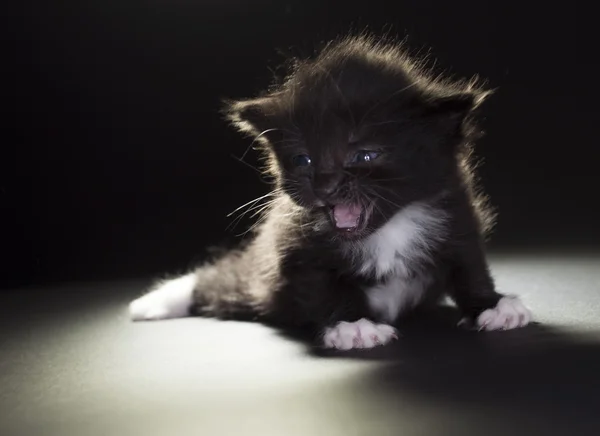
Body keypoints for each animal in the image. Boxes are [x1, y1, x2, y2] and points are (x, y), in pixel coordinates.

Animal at [129, 34, 532, 350]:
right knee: (219, 282)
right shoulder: (294, 246)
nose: (325, 185)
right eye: (302, 158)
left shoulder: (456, 213)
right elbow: (323, 285)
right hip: (259, 286)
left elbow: (469, 265)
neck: (389, 229)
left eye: (363, 154)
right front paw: (352, 326)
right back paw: (154, 301)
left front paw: (492, 305)